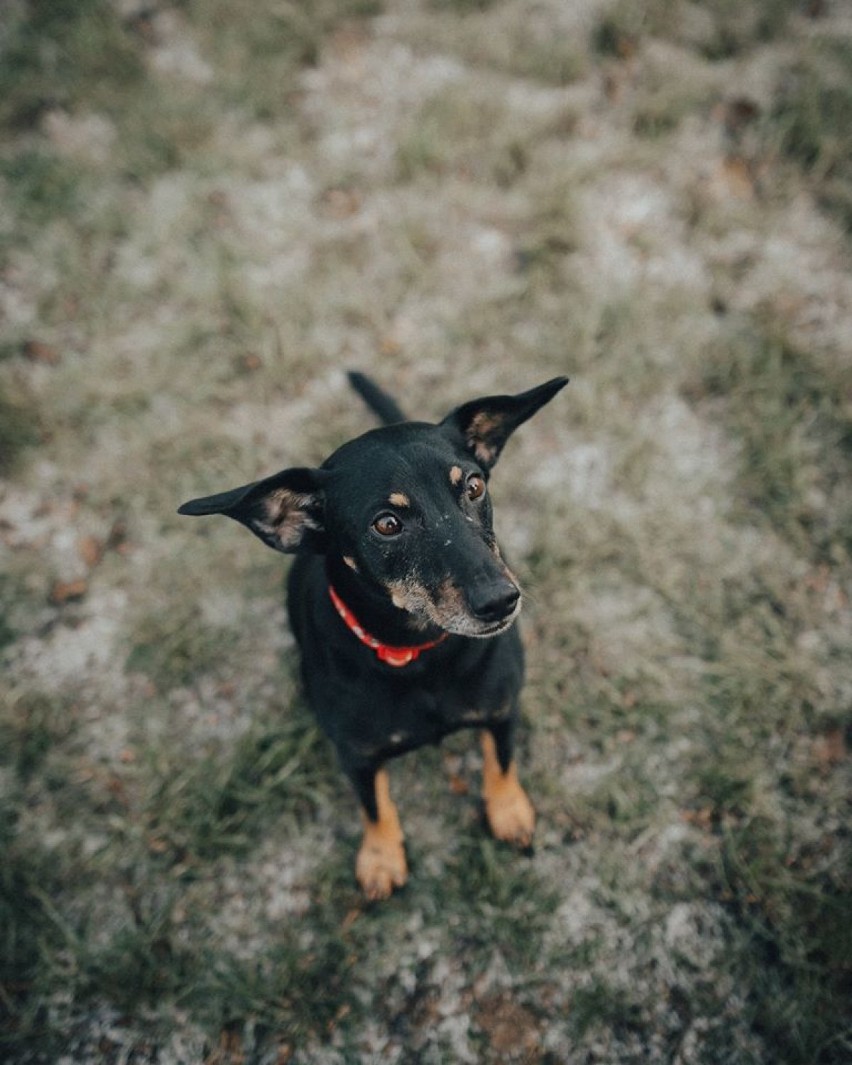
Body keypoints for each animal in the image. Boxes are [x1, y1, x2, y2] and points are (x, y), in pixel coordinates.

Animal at [177, 374, 566, 898]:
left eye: (474, 486)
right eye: (387, 524)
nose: (501, 600)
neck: (419, 654)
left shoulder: (502, 707)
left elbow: (500, 761)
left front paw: (508, 810)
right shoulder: (356, 754)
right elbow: (373, 805)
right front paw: (381, 857)